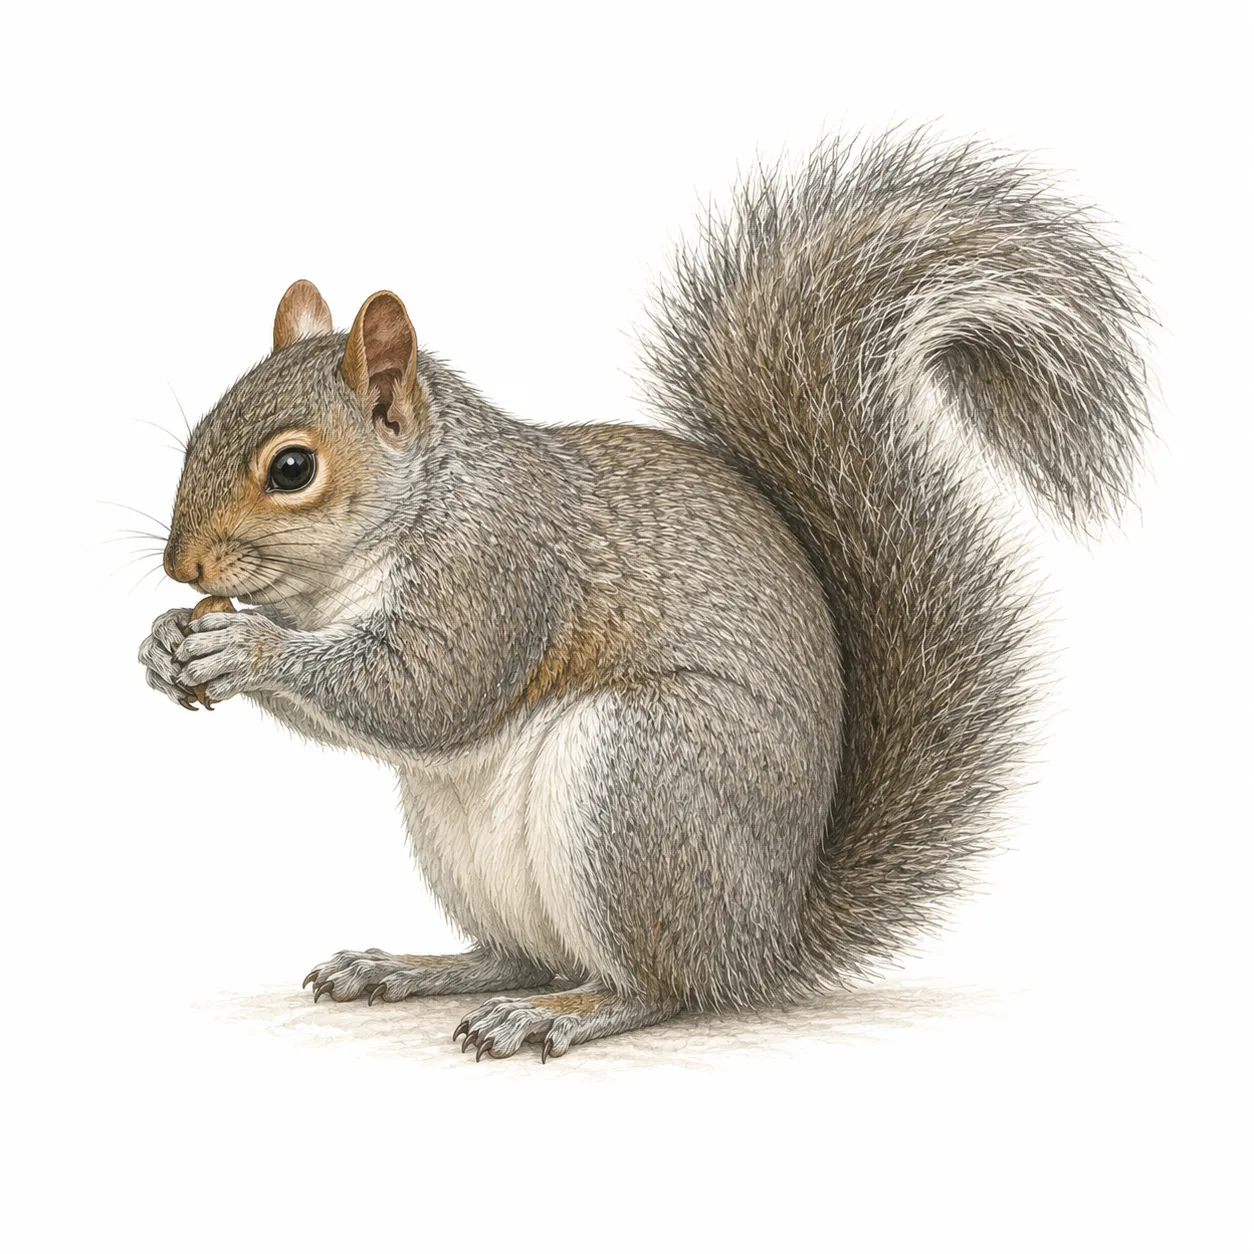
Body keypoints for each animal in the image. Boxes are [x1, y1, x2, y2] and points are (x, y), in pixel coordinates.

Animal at [138, 132, 1150, 1062]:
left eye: (292, 468)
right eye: (195, 435)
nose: (182, 569)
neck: (416, 504)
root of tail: (766, 940)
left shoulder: (498, 571)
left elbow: (425, 694)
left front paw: (243, 648)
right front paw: (162, 644)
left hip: (641, 783)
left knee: (663, 986)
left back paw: (554, 1015)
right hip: (472, 842)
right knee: (520, 953)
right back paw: (410, 969)